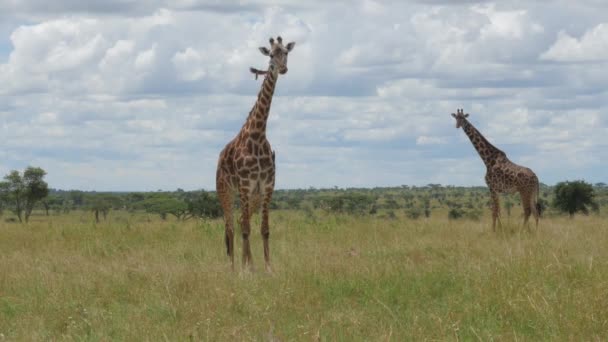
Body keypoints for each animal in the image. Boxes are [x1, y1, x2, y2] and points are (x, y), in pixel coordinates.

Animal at [217, 34, 296, 270]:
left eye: (285, 52)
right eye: (270, 55)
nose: (283, 69)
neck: (258, 135)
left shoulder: (267, 186)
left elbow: (264, 229)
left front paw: (267, 268)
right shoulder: (245, 185)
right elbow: (245, 230)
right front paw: (246, 270)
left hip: (253, 196)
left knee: (240, 222)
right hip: (225, 190)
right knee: (230, 227)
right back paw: (233, 267)